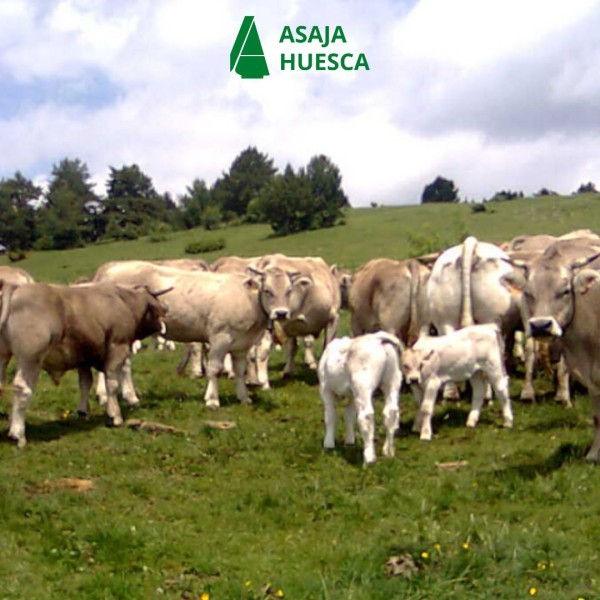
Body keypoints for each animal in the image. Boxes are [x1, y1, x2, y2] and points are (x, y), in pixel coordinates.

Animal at [0, 282, 169, 446]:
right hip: (30, 360)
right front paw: (114, 415)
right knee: (22, 390)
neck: (123, 301)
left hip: (4, 357)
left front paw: (82, 411)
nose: (165, 313)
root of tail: (15, 288)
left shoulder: (83, 358)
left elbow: (85, 383)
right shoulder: (117, 349)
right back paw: (18, 434)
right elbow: (112, 384)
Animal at [318, 330, 404, 466]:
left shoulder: (325, 390)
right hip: (392, 379)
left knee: (366, 415)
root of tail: (377, 338)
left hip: (363, 385)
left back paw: (369, 458)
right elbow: (349, 415)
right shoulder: (353, 395)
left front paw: (329, 444)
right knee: (391, 412)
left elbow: (330, 416)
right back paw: (388, 451)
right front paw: (349, 441)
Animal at [506, 239, 600, 460]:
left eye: (565, 291)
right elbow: (597, 417)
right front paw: (594, 454)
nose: (541, 325)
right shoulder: (591, 378)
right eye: (528, 293)